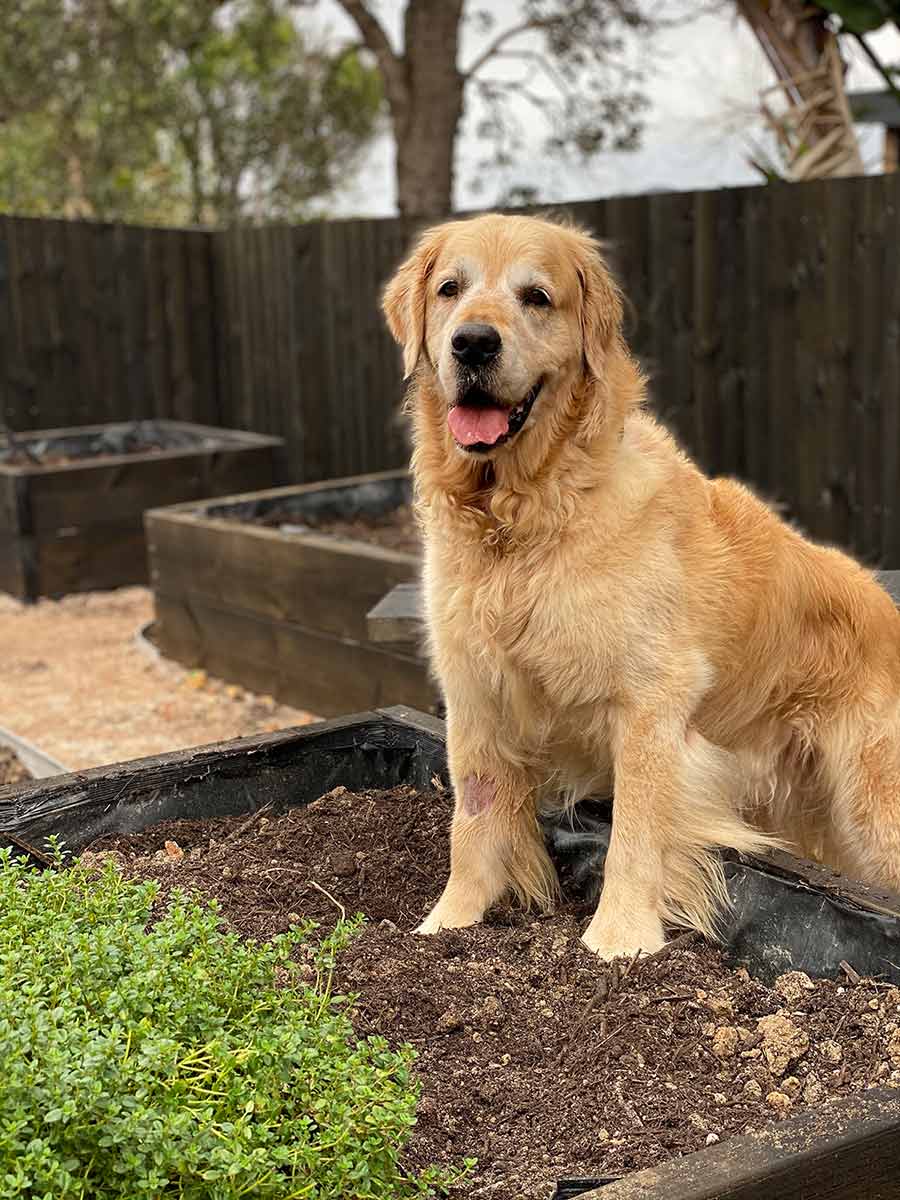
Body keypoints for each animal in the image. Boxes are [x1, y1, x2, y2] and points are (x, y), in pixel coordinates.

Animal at [381, 208, 900, 955]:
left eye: (536, 297)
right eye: (451, 289)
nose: (473, 343)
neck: (528, 520)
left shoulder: (653, 703)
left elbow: (635, 830)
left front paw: (618, 941)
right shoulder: (475, 692)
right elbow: (473, 820)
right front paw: (451, 924)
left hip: (873, 806)